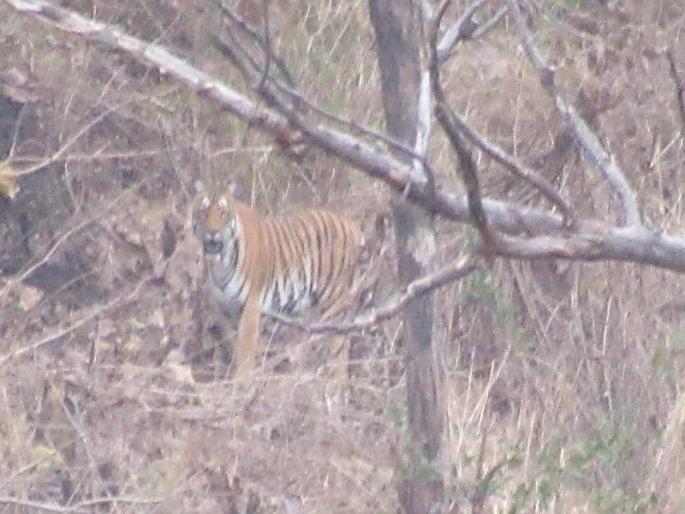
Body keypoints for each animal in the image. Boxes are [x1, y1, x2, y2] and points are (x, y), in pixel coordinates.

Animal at [191, 185, 363, 377]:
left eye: (223, 213)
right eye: (203, 212)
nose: (213, 232)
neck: (220, 263)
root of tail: (351, 225)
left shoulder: (251, 304)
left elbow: (246, 349)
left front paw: (242, 379)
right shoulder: (224, 308)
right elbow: (233, 344)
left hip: (335, 304)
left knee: (339, 347)